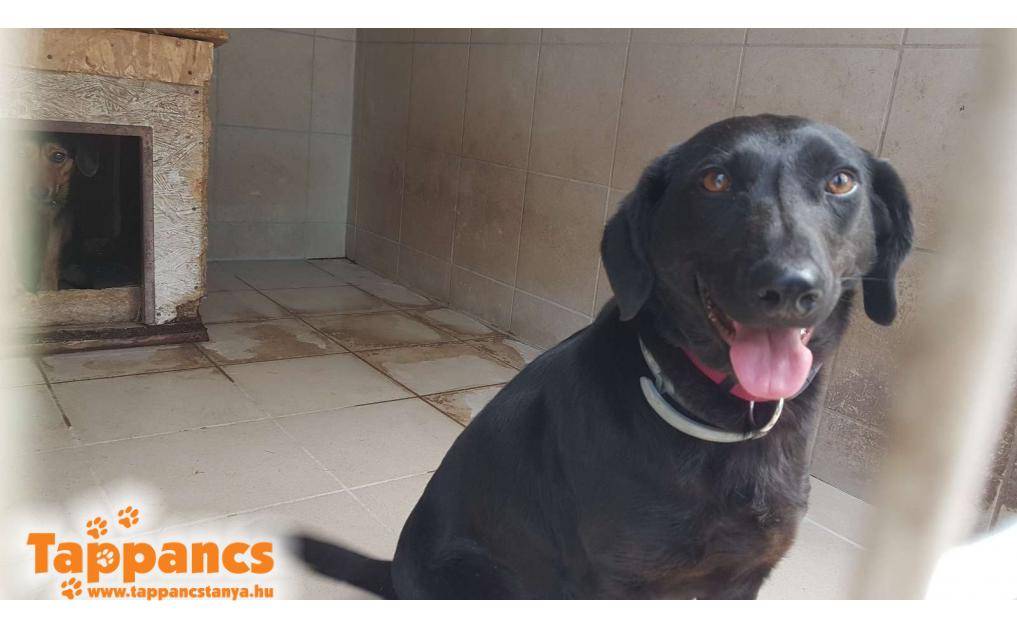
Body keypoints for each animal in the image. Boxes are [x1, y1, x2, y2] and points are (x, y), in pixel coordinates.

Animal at [16, 132, 99, 292]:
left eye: (58, 156)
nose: (38, 193)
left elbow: (51, 254)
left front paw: (47, 289)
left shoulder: (59, 220)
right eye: (20, 153)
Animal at [294, 114, 913, 599]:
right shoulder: (617, 582)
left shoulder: (741, 578)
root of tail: (396, 571)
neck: (721, 418)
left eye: (841, 181)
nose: (788, 286)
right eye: (715, 180)